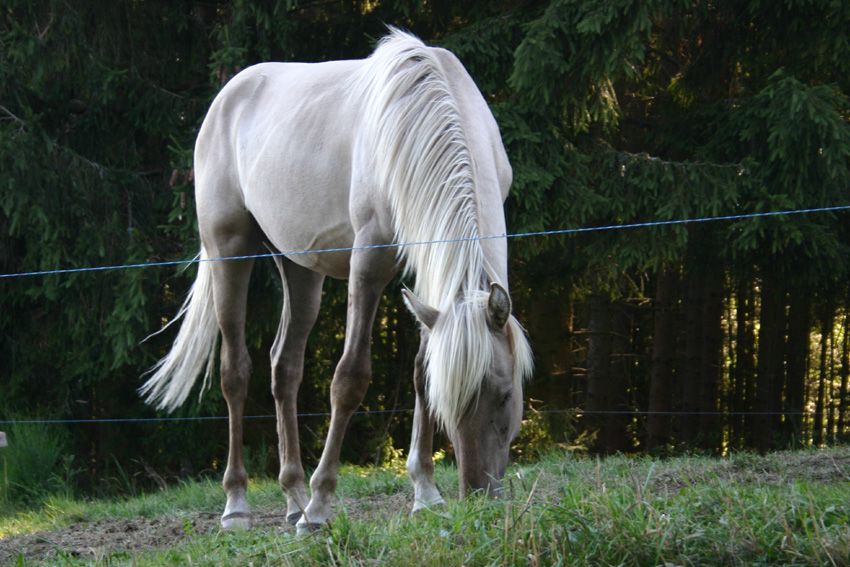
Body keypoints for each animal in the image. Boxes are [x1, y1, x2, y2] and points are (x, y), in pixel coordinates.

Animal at [140, 29, 533, 533]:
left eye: (505, 396)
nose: (479, 494)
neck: (423, 112)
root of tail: (228, 95)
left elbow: (418, 369)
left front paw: (425, 493)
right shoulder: (369, 263)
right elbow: (349, 379)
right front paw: (321, 505)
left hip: (298, 266)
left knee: (284, 367)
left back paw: (292, 497)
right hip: (230, 249)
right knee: (235, 372)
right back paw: (240, 505)